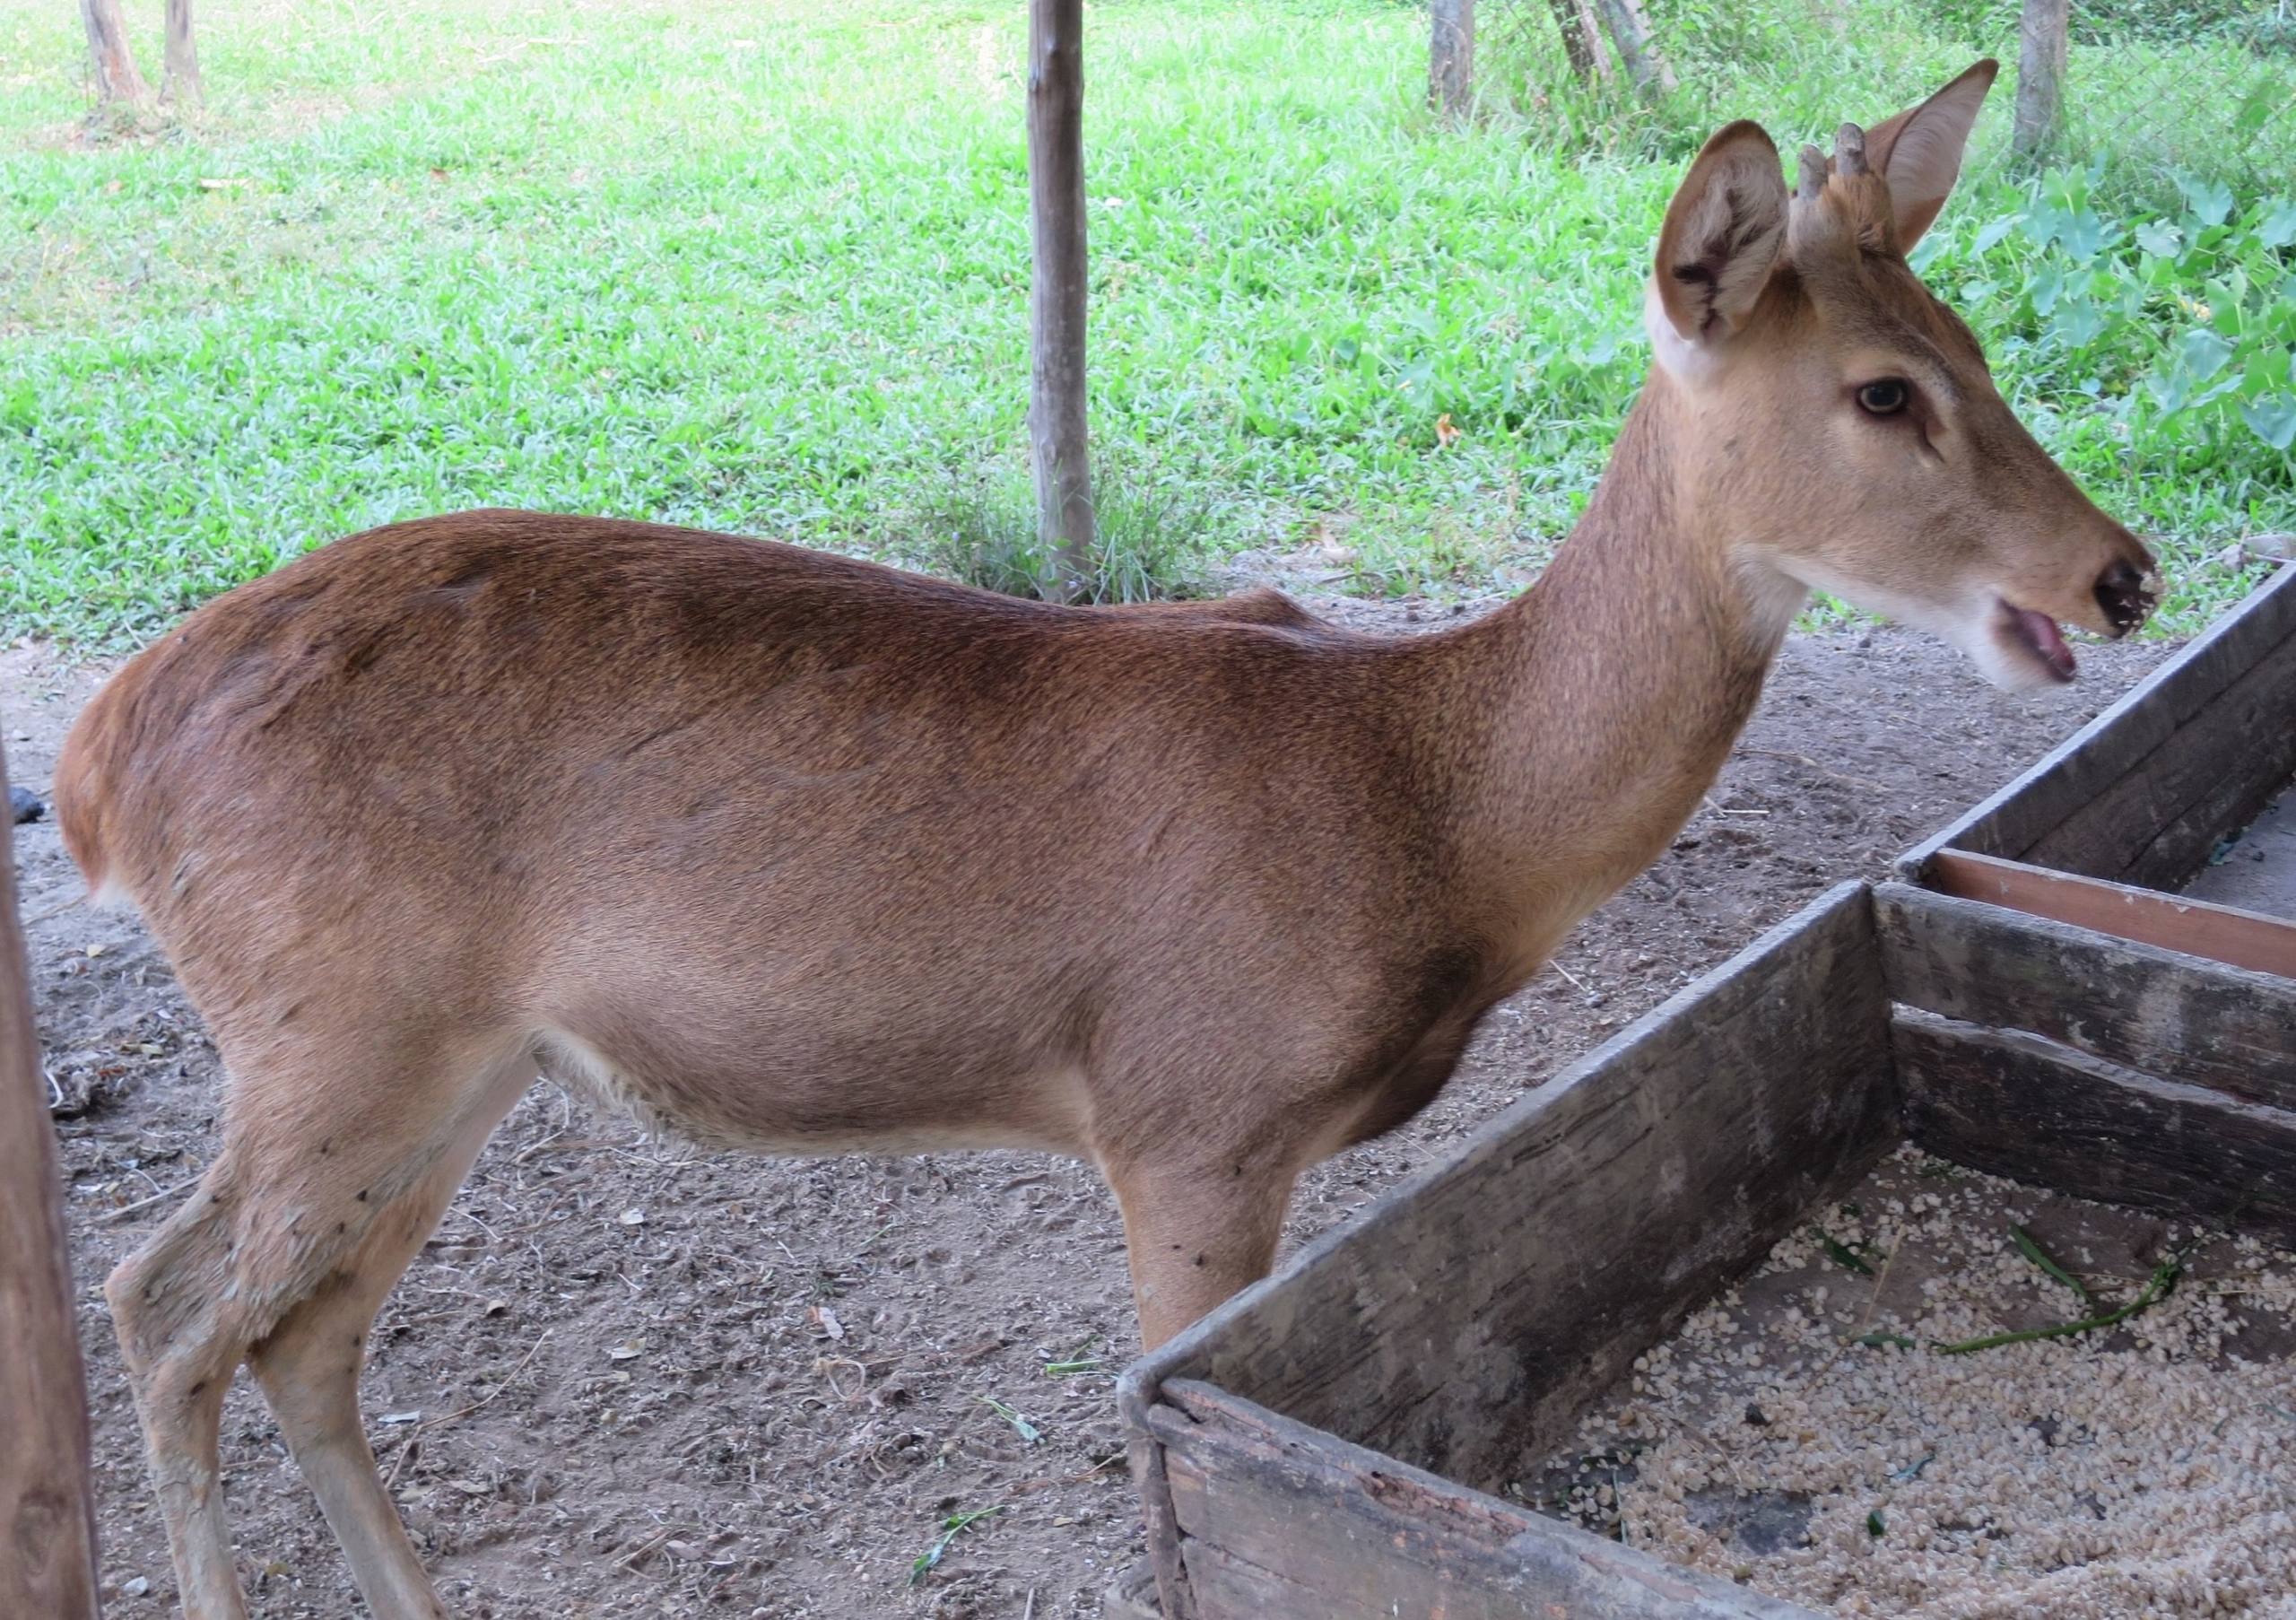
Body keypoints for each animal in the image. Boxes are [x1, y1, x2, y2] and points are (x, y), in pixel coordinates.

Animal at [54, 63, 2149, 1617]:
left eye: (1974, 336)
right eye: (1880, 390)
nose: (2118, 575)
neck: (1438, 813)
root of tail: (98, 757)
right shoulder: (1186, 1113)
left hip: (459, 1063)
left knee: (300, 1338)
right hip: (332, 1023)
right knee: (161, 1315)